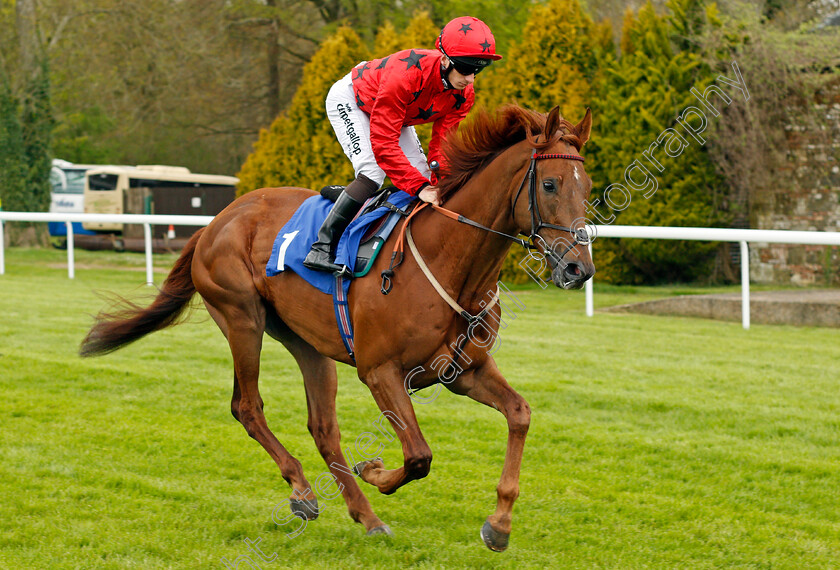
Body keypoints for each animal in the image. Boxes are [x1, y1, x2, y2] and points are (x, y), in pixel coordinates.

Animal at [77, 103, 592, 552]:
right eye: (549, 184)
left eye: (586, 187)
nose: (578, 269)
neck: (449, 261)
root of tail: (215, 222)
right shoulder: (380, 371)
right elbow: (418, 455)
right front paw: (376, 469)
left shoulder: (463, 370)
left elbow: (520, 414)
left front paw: (498, 525)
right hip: (241, 317)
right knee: (248, 407)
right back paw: (304, 492)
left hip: (307, 343)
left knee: (323, 427)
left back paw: (365, 515)